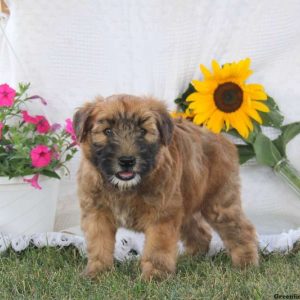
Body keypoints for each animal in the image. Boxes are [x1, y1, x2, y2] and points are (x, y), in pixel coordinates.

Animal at [74, 95, 258, 280]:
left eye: (143, 131)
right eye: (108, 131)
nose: (127, 161)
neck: (125, 188)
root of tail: (224, 140)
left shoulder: (162, 217)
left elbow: (157, 249)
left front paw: (155, 276)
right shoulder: (97, 215)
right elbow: (99, 246)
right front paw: (97, 272)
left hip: (219, 204)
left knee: (242, 230)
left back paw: (246, 264)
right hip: (185, 204)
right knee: (201, 233)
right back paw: (192, 259)